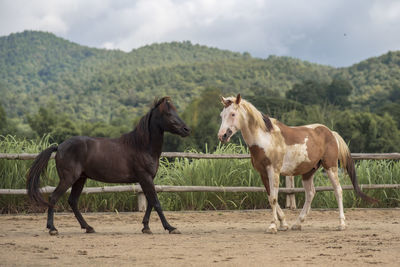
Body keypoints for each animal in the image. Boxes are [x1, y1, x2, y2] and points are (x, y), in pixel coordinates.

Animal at [26, 97, 191, 236]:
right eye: (168, 113)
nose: (186, 129)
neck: (142, 146)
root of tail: (59, 146)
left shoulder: (147, 179)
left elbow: (150, 202)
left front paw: (146, 227)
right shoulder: (145, 178)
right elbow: (156, 202)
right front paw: (171, 228)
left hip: (80, 179)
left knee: (72, 201)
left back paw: (88, 227)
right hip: (68, 178)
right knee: (54, 197)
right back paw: (53, 229)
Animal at [219, 95, 378, 233]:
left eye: (233, 114)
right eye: (221, 115)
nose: (222, 135)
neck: (265, 139)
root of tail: (331, 133)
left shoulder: (273, 171)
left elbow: (274, 198)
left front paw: (272, 226)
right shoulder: (263, 173)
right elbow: (271, 197)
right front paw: (283, 224)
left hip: (330, 167)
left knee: (338, 191)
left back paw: (342, 224)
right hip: (308, 172)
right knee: (310, 193)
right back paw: (298, 223)